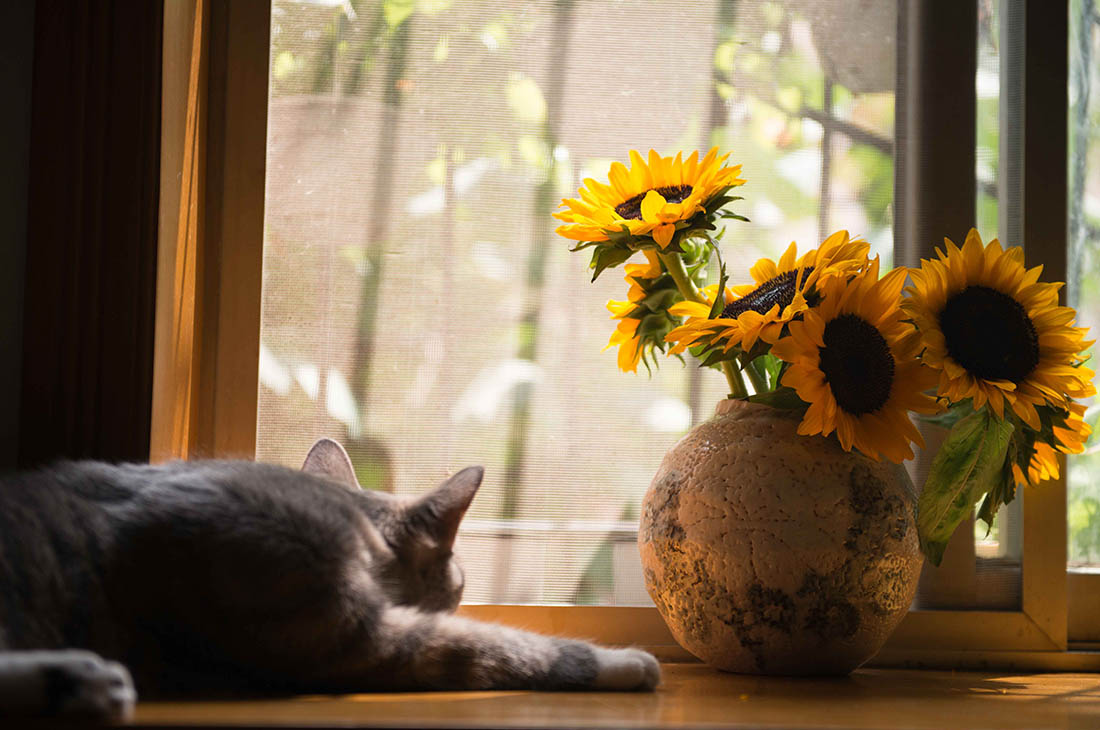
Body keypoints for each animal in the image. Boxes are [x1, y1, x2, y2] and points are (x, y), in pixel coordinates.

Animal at [0, 439, 655, 716]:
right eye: (462, 585)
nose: (460, 592)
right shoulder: (354, 636)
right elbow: (501, 645)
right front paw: (628, 661)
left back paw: (80, 681)